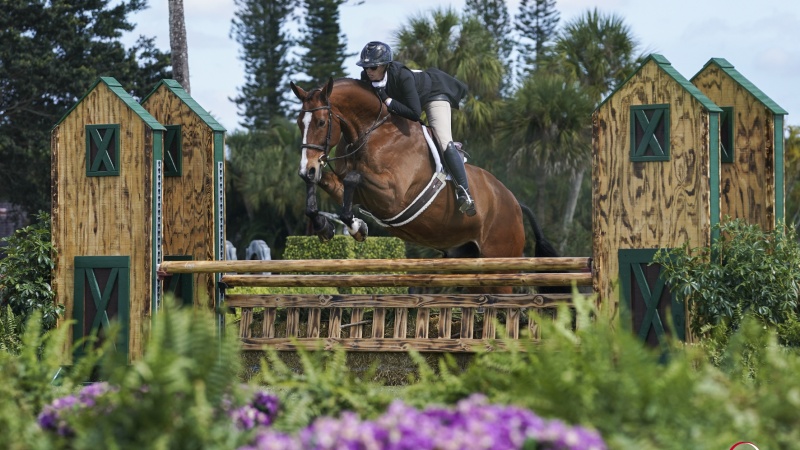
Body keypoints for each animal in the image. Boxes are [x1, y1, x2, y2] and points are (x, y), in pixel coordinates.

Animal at [290, 77, 560, 284]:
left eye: (321, 122)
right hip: (467, 257)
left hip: (500, 259)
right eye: (299, 123)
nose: (306, 169)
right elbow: (327, 182)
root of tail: (516, 204)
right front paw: (325, 225)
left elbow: (353, 179)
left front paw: (356, 227)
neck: (370, 133)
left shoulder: (393, 196)